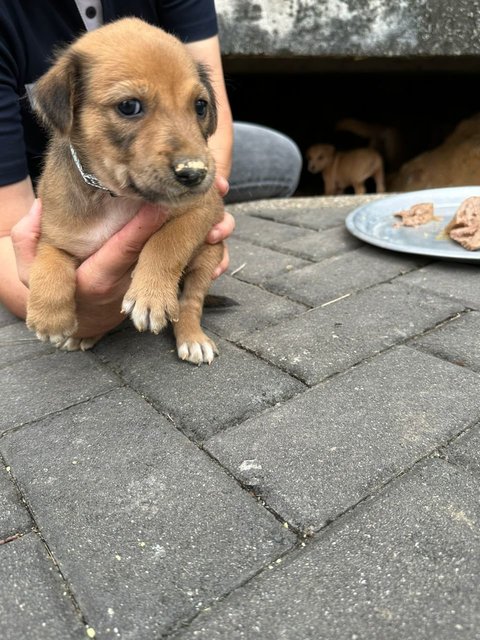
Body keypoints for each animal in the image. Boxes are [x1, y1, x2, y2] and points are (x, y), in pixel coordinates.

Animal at [27, 17, 226, 364]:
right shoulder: (57, 232)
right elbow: (48, 258)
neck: (114, 196)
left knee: (189, 302)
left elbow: (167, 241)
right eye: (129, 106)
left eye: (200, 106)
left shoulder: (204, 207)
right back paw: (87, 333)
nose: (195, 173)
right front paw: (48, 316)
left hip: (208, 255)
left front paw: (151, 296)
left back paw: (192, 337)